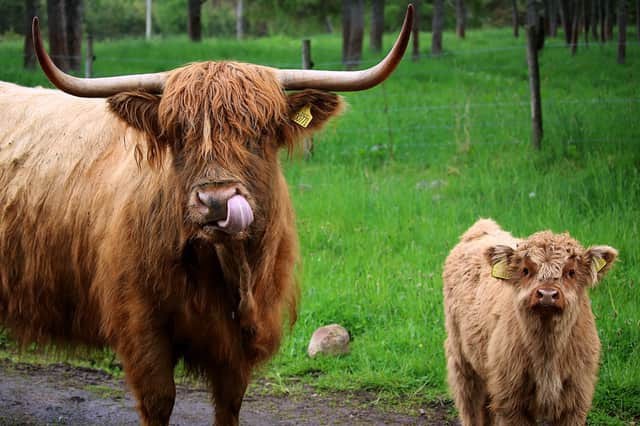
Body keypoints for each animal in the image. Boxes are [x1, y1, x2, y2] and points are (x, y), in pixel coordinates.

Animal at [0, 6, 413, 425]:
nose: (216, 201)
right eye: (178, 134)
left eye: (259, 131)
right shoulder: (140, 326)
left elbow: (229, 405)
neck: (231, 271)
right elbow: (159, 400)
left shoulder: (241, 343)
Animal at [442, 218, 618, 425]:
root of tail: (482, 228)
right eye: (525, 270)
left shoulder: (576, 398)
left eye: (571, 272)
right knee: (471, 406)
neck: (547, 351)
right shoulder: (511, 400)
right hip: (462, 361)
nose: (547, 294)